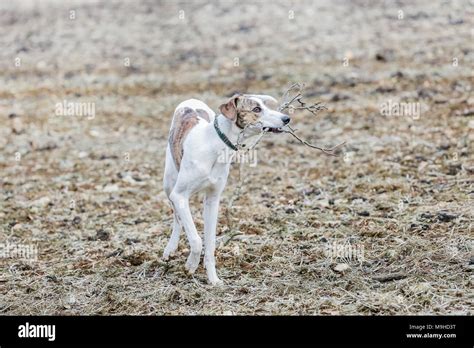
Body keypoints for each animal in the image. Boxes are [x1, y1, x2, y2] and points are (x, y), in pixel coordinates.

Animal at [162, 94, 288, 284]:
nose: (287, 118)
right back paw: (170, 248)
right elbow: (196, 240)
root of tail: (190, 101)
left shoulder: (212, 201)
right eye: (256, 109)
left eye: (265, 105)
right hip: (169, 186)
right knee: (177, 219)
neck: (214, 145)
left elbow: (210, 243)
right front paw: (190, 265)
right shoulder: (180, 196)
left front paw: (213, 279)